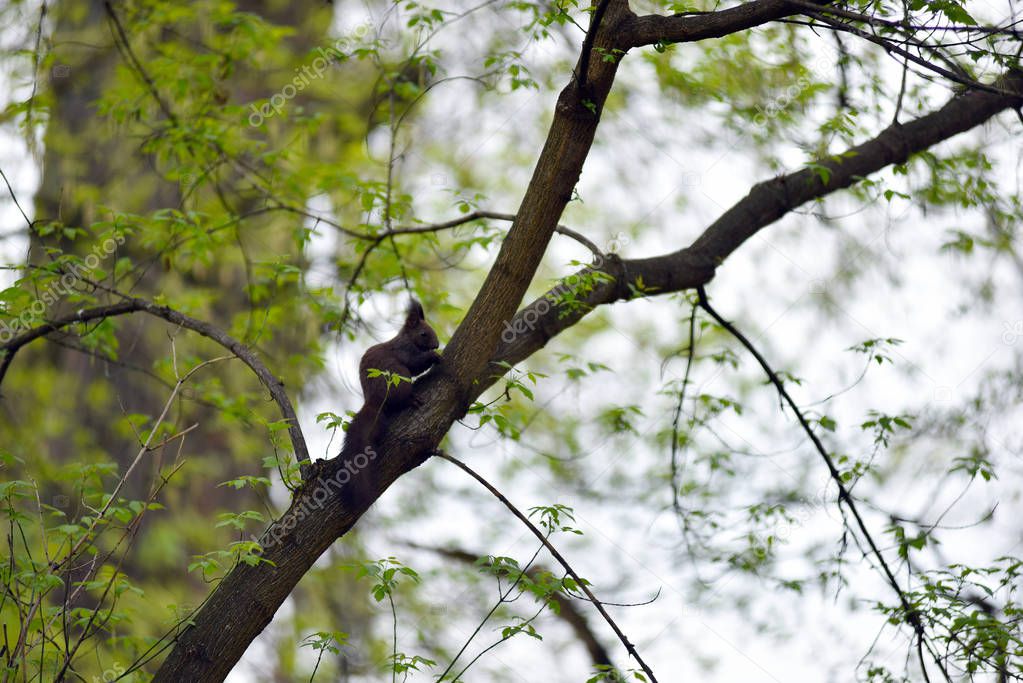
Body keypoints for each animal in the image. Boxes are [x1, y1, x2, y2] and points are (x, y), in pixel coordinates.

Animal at [339, 298, 443, 496]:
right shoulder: (404, 351)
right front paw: (435, 356)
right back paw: (411, 400)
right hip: (399, 380)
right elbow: (415, 364)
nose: (436, 346)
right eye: (424, 333)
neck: (407, 338)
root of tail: (373, 401)